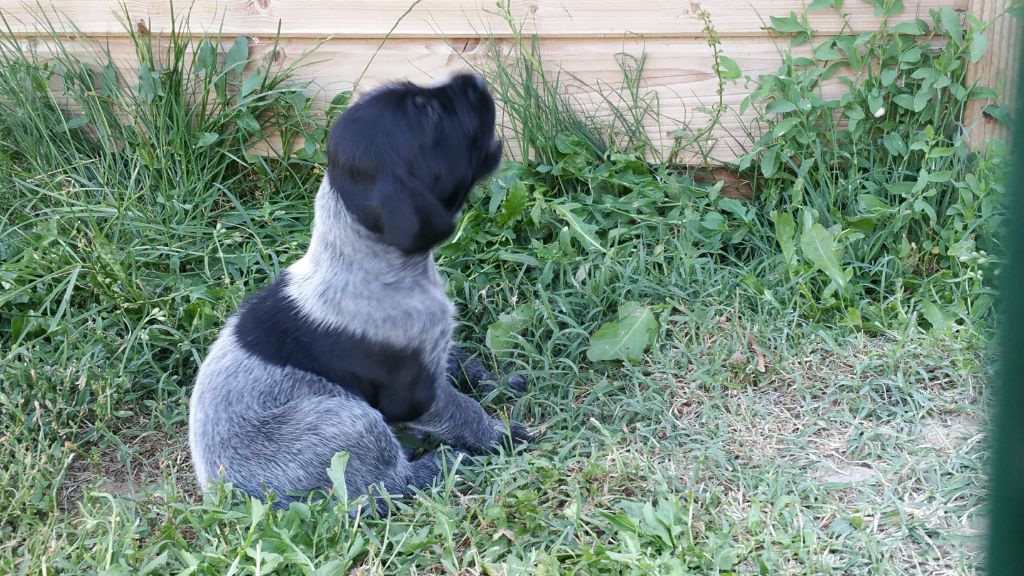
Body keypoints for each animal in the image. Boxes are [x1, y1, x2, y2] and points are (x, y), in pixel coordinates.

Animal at [187, 73, 532, 508]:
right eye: (427, 111)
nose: (472, 78)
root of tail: (224, 497)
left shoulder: (432, 349)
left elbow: (463, 365)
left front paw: (496, 383)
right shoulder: (413, 394)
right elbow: (462, 410)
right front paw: (496, 435)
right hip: (353, 422)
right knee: (389, 486)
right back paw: (444, 464)